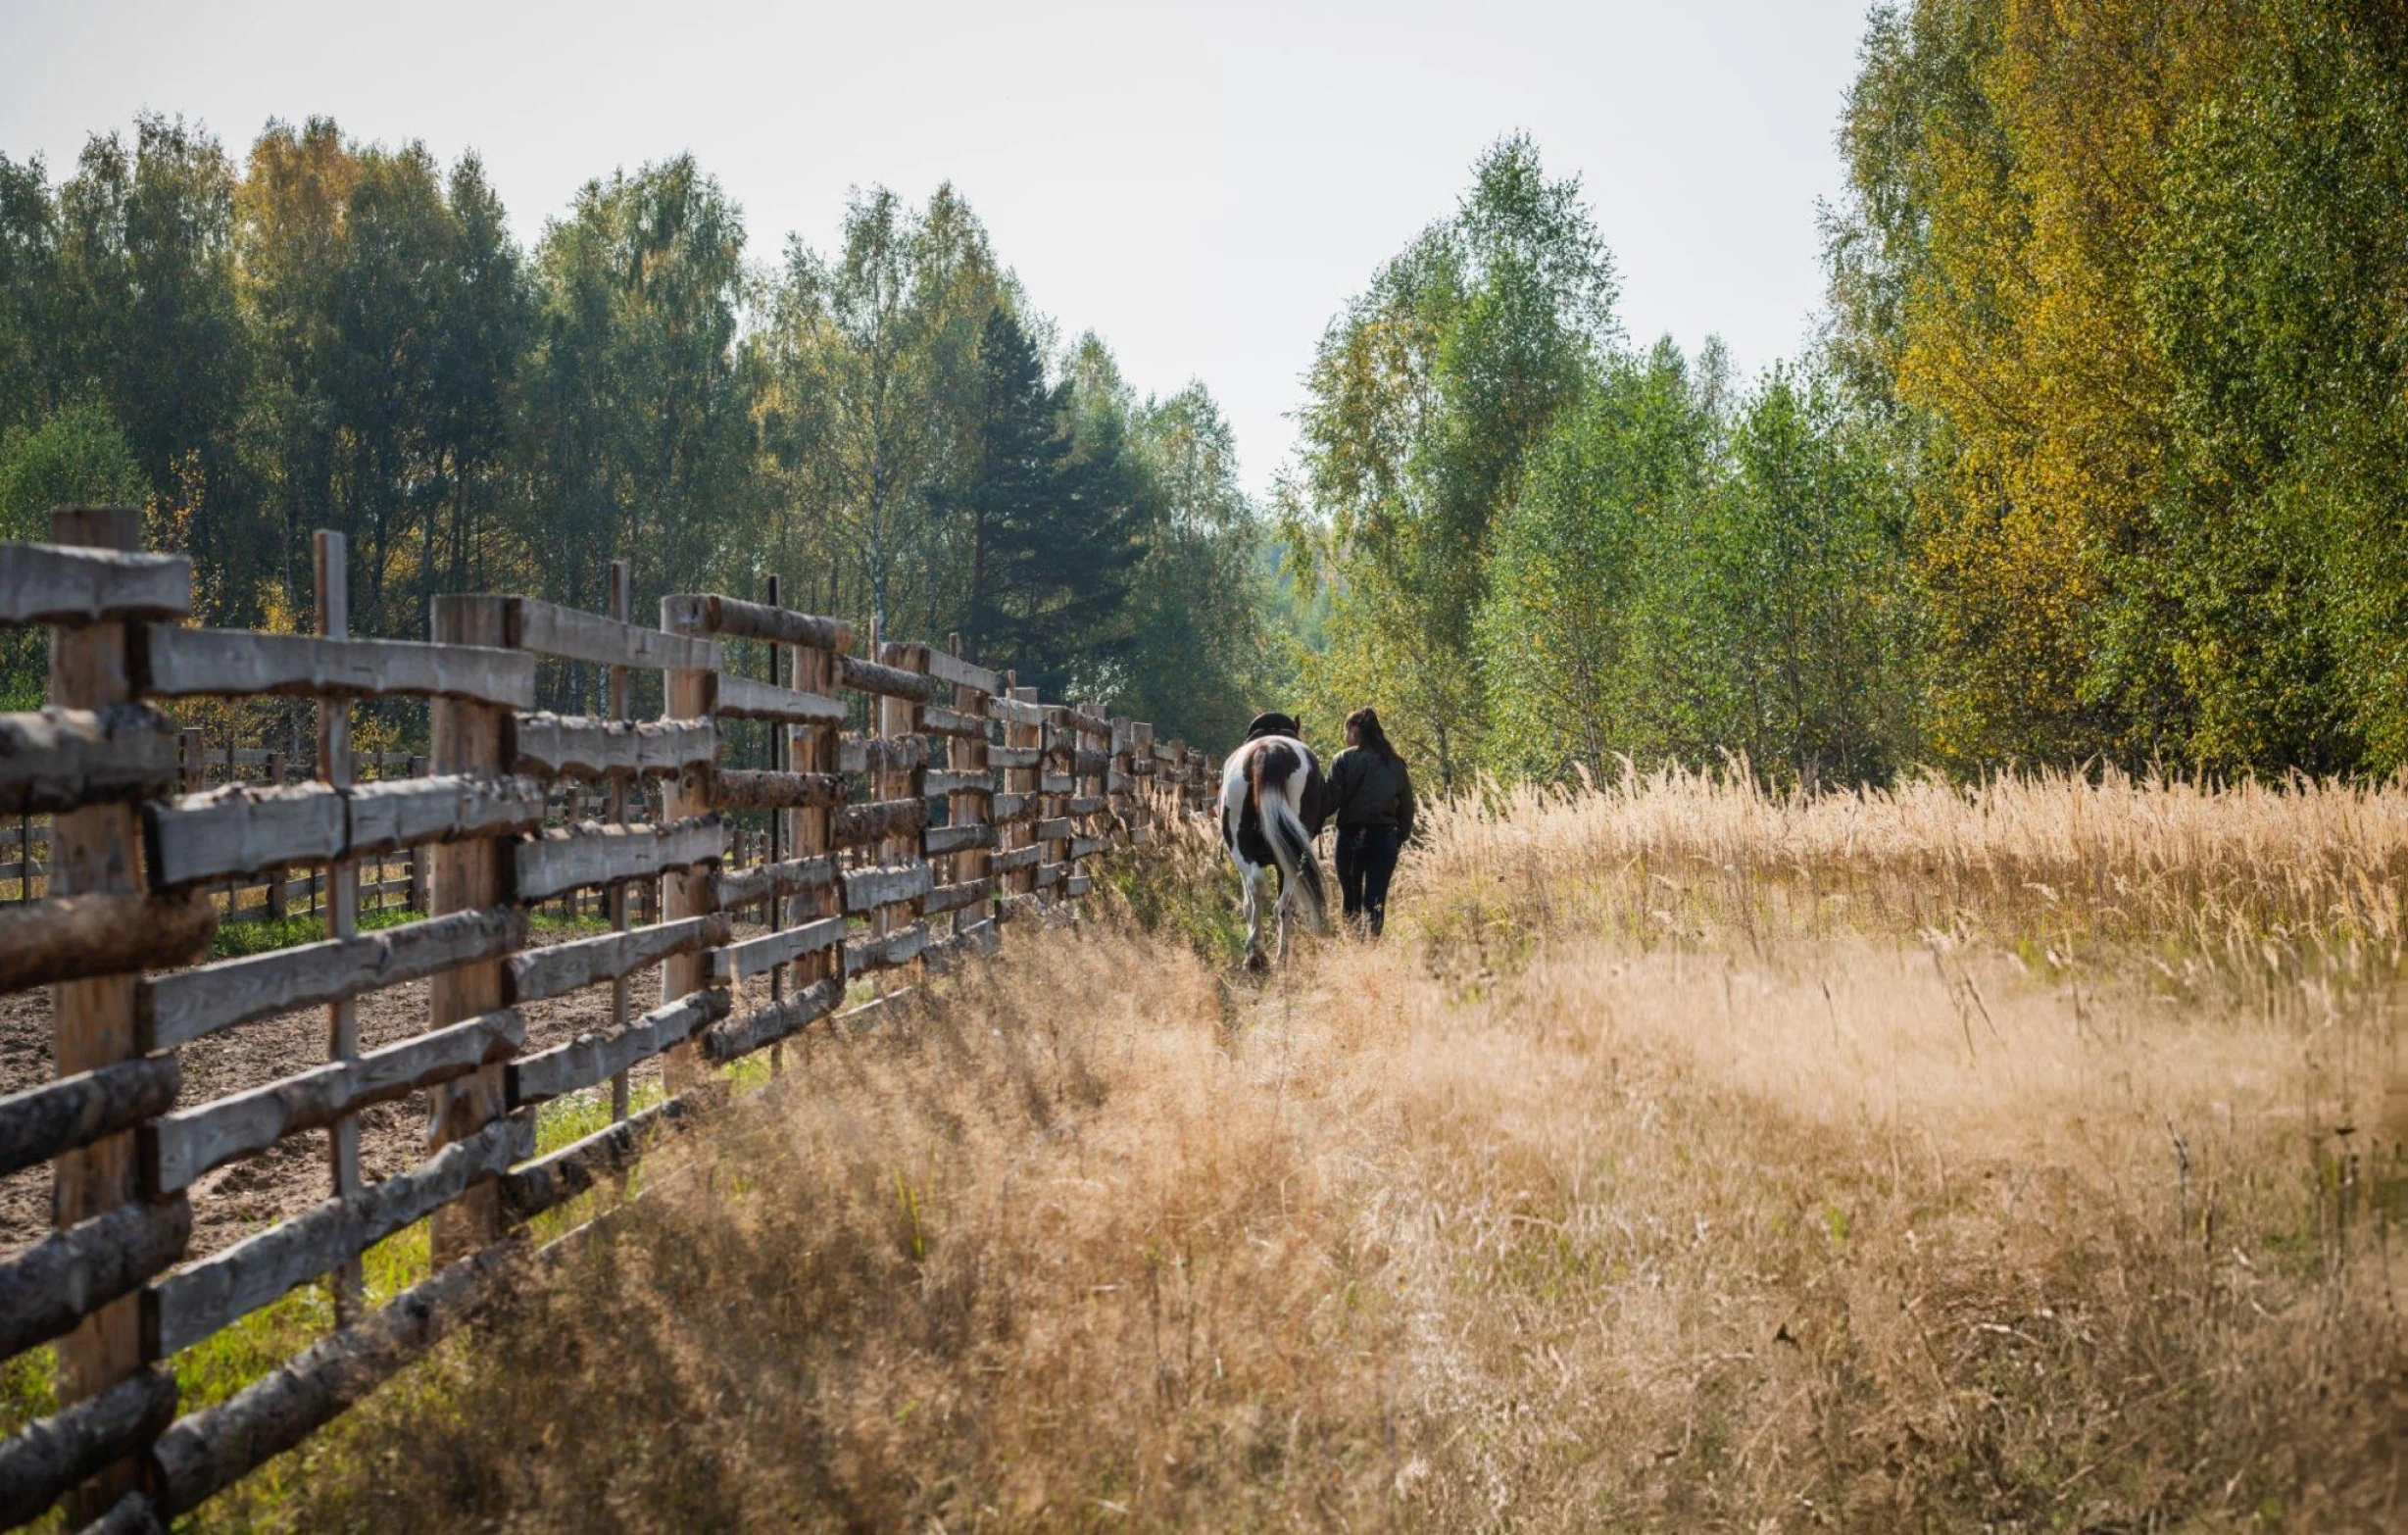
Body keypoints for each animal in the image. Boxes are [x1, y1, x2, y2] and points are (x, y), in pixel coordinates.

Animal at [1223, 708, 1339, 968]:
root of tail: (1269, 750)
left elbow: (1247, 903)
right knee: (1282, 903)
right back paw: (1273, 955)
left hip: (1243, 847)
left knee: (1263, 891)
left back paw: (1257, 955)